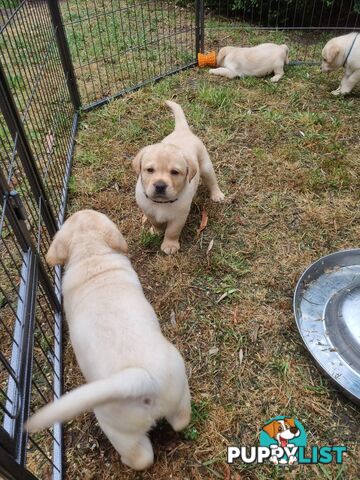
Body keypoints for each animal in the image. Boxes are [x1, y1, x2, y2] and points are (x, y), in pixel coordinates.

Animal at [25, 211, 191, 472]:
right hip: (178, 391)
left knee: (140, 457)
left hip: (116, 427)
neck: (91, 255)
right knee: (181, 421)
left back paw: (126, 460)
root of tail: (138, 379)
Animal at [134, 100, 224, 255]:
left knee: (212, 181)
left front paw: (170, 245)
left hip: (206, 166)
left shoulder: (179, 217)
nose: (160, 185)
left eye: (175, 172)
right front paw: (157, 231)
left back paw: (217, 194)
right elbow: (155, 222)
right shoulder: (148, 210)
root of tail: (182, 130)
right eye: (150, 170)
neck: (161, 203)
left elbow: (172, 231)